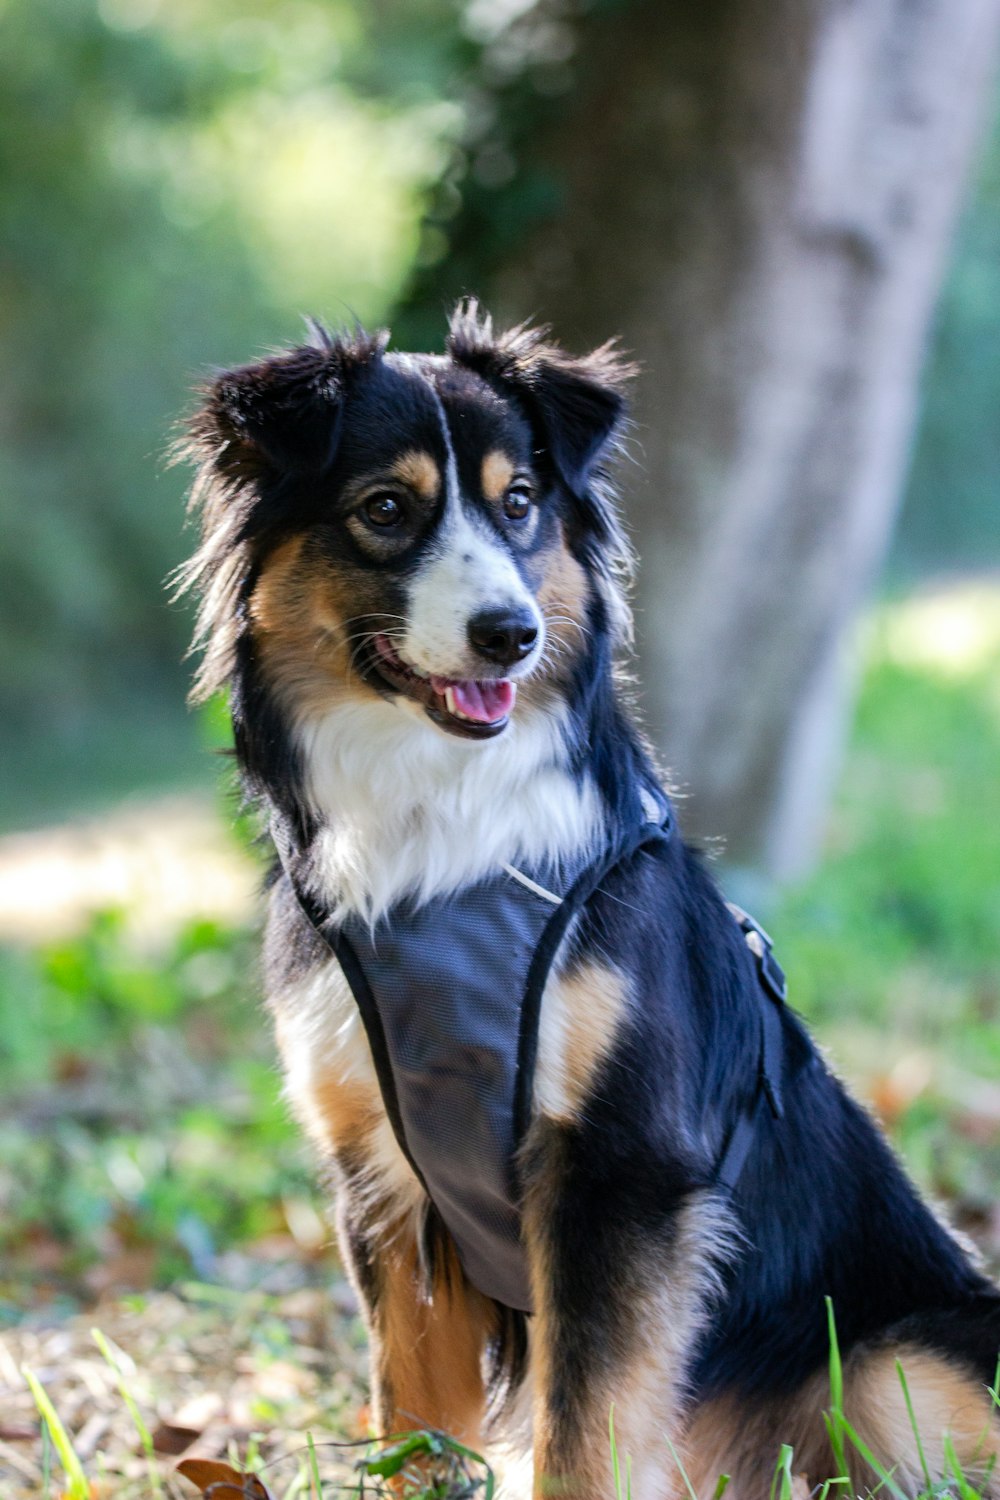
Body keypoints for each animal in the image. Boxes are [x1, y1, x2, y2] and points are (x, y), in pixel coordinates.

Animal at [179, 298, 1000, 1494]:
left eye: (519, 503)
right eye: (385, 510)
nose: (509, 634)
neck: (441, 832)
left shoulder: (618, 1169)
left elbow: (584, 1427)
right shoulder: (384, 1179)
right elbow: (410, 1417)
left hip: (893, 1368)